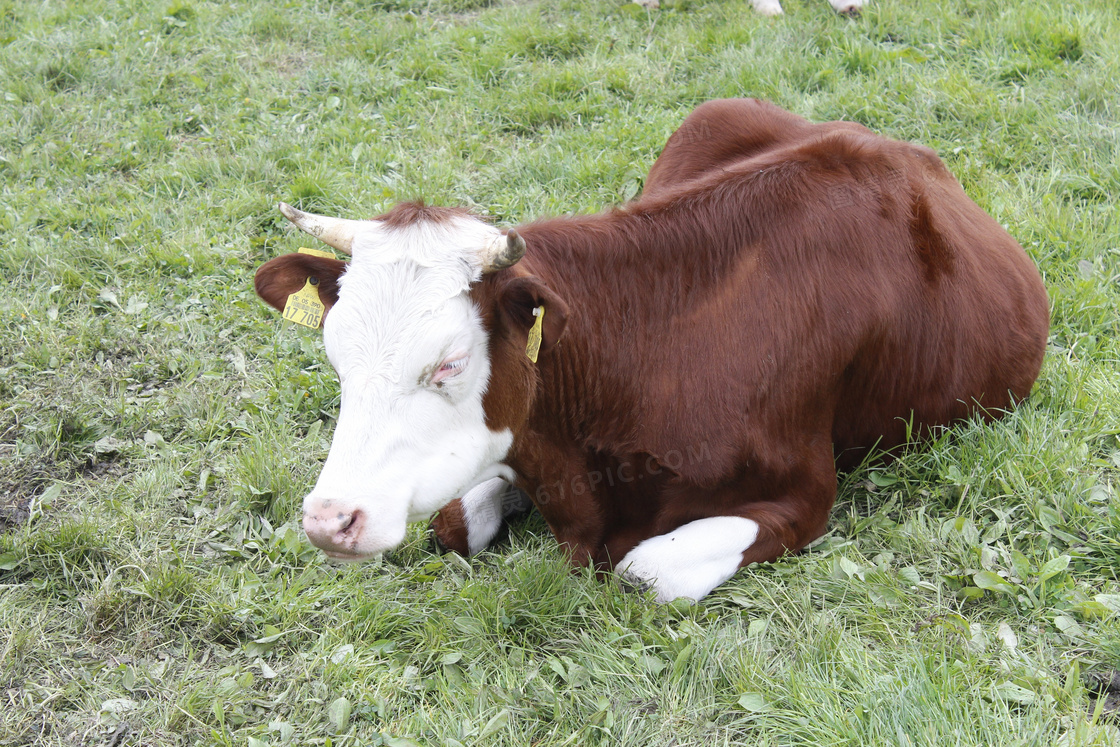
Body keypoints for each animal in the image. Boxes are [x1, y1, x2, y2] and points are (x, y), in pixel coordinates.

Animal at [254, 97, 1048, 600]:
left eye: (449, 363)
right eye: (336, 358)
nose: (329, 519)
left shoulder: (802, 494)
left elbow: (644, 571)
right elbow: (451, 522)